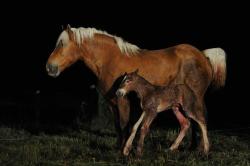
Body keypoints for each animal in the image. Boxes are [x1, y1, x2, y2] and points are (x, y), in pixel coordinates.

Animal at [45, 24, 227, 154]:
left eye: (62, 44)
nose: (49, 68)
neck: (110, 59)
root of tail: (203, 56)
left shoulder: (123, 99)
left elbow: (125, 123)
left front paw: (126, 149)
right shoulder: (112, 102)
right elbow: (118, 125)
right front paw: (119, 147)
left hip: (194, 98)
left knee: (199, 120)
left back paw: (198, 148)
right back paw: (188, 148)